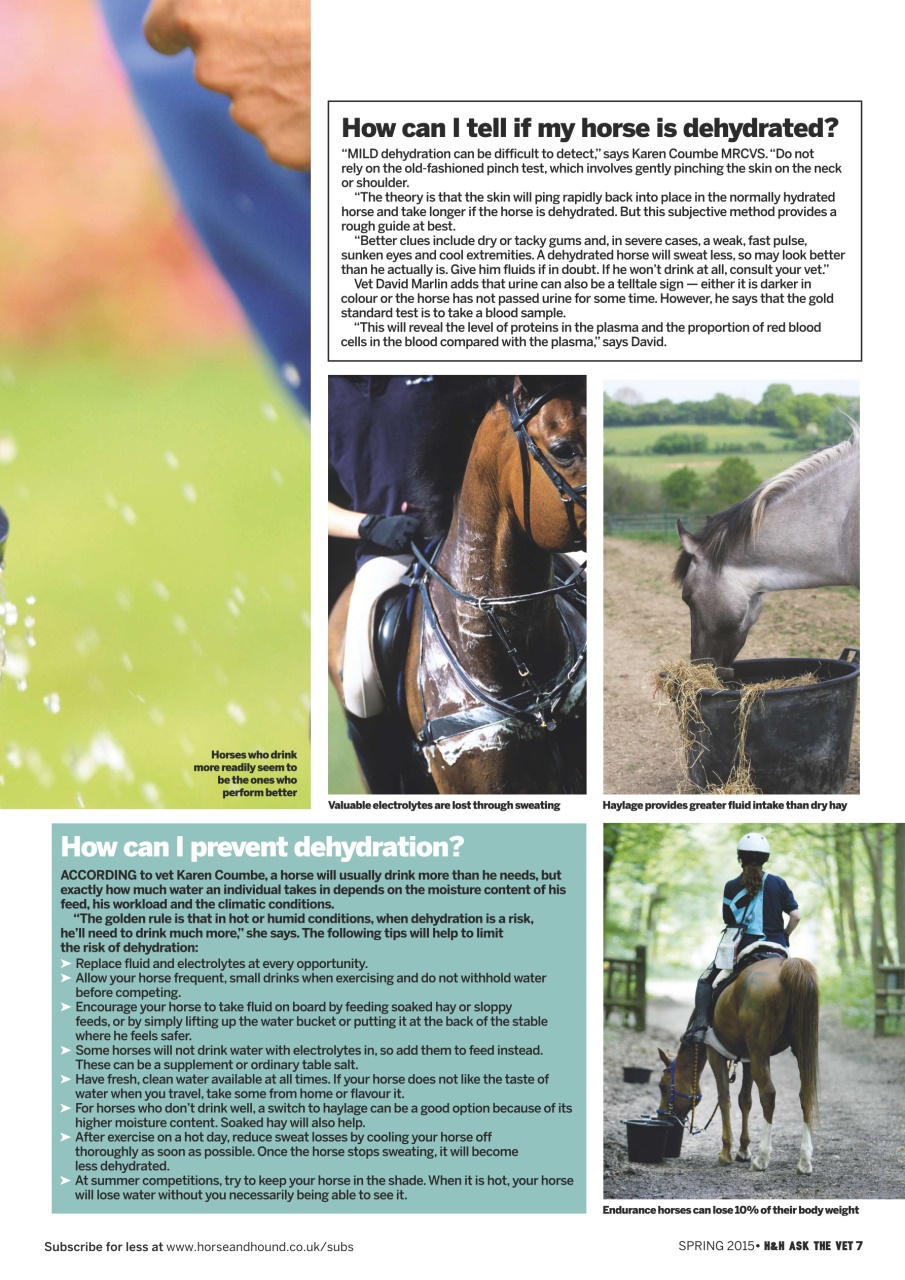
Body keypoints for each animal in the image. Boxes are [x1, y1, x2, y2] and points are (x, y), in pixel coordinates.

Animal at [657, 956, 819, 1174]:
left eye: (663, 1087)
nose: (662, 1118)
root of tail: (785, 967)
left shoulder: (715, 1053)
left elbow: (724, 1098)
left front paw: (726, 1152)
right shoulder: (748, 1059)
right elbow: (745, 1100)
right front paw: (743, 1149)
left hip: (760, 1052)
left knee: (768, 1094)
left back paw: (762, 1158)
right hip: (798, 1049)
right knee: (805, 1094)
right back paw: (804, 1160)